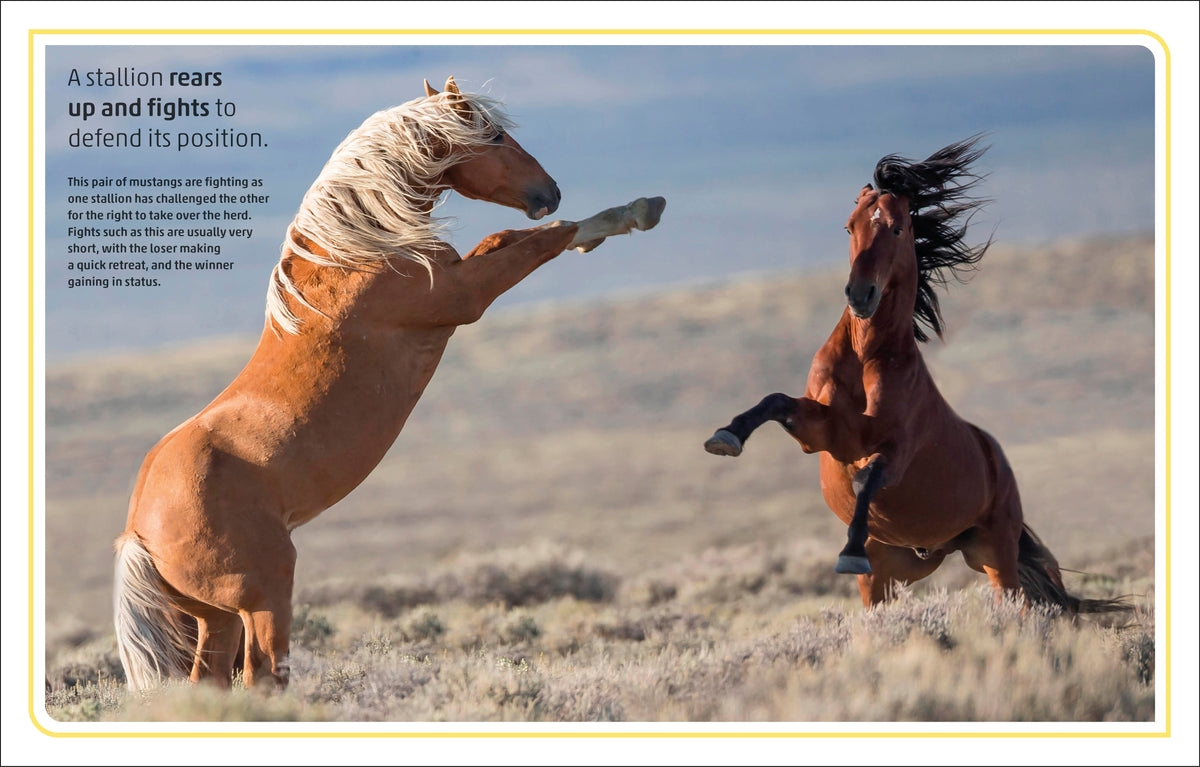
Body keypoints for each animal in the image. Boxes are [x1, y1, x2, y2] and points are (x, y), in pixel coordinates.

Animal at [113, 76, 666, 690]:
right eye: (495, 136)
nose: (551, 191)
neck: (355, 253)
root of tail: (139, 532)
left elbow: (510, 237)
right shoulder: (465, 296)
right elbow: (544, 240)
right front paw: (637, 212)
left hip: (217, 617)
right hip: (264, 596)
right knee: (264, 674)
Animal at [704, 137, 1122, 615]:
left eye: (899, 229)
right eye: (849, 228)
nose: (860, 295)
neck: (867, 357)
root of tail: (998, 459)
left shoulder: (894, 451)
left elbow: (865, 478)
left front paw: (850, 550)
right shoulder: (823, 432)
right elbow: (774, 401)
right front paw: (725, 437)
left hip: (996, 557)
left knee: (1019, 603)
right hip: (892, 574)